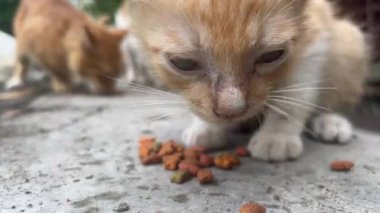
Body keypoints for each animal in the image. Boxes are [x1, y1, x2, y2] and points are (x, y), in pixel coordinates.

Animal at [127, 0, 368, 162]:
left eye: (271, 55)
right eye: (183, 63)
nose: (232, 110)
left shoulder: (314, 40)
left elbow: (294, 95)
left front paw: (276, 136)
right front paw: (207, 128)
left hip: (350, 41)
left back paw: (331, 121)